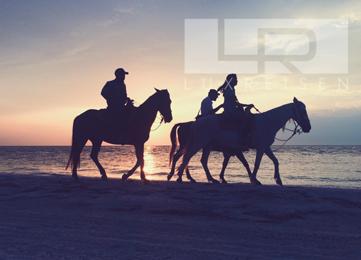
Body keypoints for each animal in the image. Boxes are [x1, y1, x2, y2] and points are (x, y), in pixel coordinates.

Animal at [176, 97, 310, 185]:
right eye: (302, 111)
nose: (308, 128)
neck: (268, 122)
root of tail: (196, 123)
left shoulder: (265, 147)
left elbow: (275, 161)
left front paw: (278, 179)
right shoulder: (261, 148)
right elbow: (257, 164)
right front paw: (254, 179)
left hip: (206, 146)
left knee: (201, 160)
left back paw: (210, 179)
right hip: (198, 144)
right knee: (186, 157)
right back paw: (180, 177)